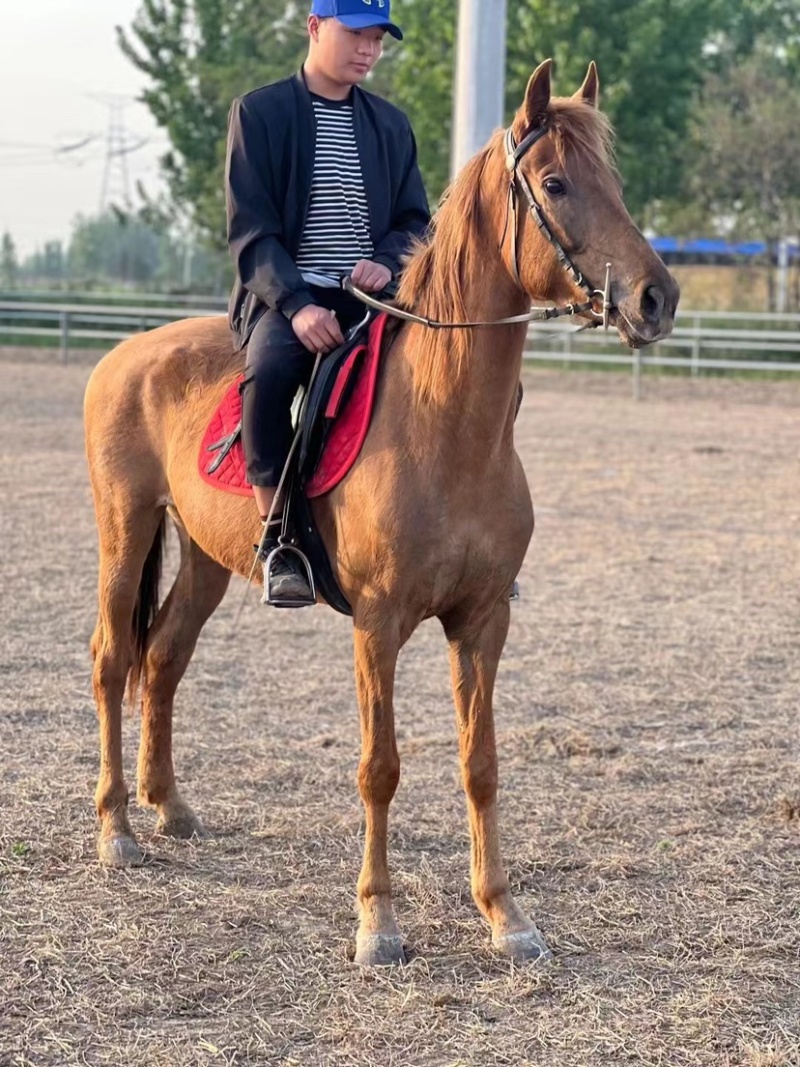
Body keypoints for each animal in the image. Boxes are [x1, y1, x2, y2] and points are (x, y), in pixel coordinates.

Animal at [83, 59, 679, 966]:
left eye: (614, 181)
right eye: (555, 183)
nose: (656, 298)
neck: (446, 424)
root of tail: (123, 353)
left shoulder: (482, 620)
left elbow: (480, 761)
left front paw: (504, 914)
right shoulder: (379, 621)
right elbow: (381, 766)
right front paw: (378, 920)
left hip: (208, 561)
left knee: (165, 657)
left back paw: (169, 807)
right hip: (127, 529)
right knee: (115, 658)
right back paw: (117, 827)